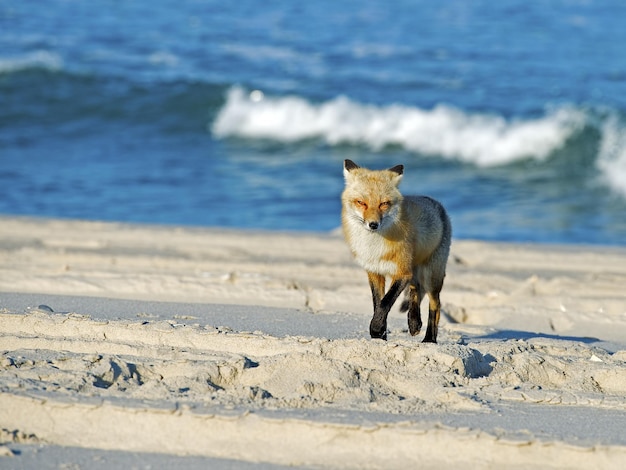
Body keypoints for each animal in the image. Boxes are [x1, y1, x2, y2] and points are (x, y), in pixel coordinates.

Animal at [342, 160, 448, 344]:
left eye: (384, 204)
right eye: (361, 202)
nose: (373, 224)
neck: (374, 246)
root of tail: (436, 203)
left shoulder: (402, 272)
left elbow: (385, 303)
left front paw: (376, 329)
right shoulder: (375, 272)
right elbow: (378, 304)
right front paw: (380, 336)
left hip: (431, 276)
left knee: (435, 304)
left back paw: (429, 338)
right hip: (415, 270)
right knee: (416, 290)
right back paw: (414, 322)